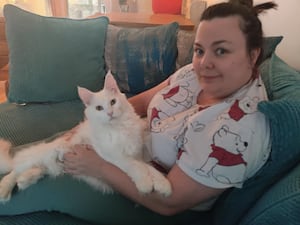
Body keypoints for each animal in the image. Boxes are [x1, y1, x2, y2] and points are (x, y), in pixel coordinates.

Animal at [0, 71, 171, 202]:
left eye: (113, 102)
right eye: (99, 108)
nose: (110, 113)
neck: (119, 128)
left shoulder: (137, 154)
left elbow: (150, 168)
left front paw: (163, 185)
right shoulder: (113, 155)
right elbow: (136, 167)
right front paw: (145, 184)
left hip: (52, 165)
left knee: (37, 170)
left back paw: (25, 180)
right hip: (44, 154)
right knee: (14, 170)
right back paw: (5, 190)